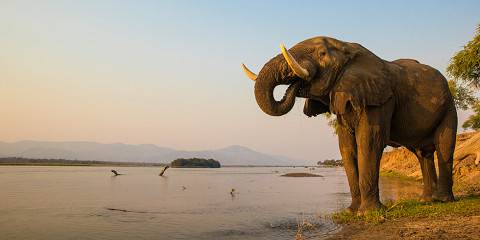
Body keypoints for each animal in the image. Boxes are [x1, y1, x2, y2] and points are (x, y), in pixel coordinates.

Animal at [244, 36, 458, 213]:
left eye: (321, 54)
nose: (295, 85)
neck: (347, 48)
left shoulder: (379, 99)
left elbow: (370, 141)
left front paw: (368, 213)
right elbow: (346, 147)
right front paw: (352, 211)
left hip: (449, 107)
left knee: (444, 146)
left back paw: (444, 200)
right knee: (422, 153)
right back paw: (426, 201)